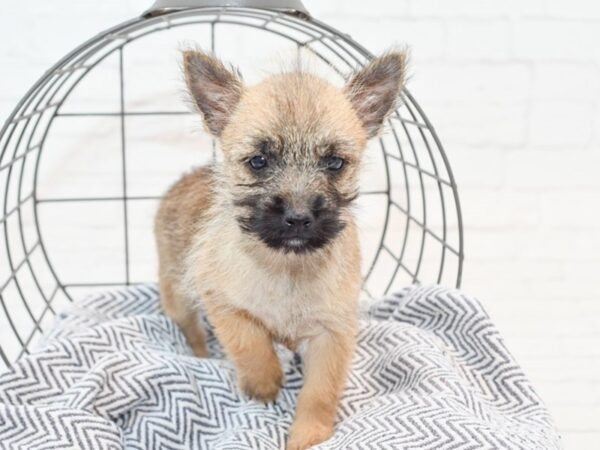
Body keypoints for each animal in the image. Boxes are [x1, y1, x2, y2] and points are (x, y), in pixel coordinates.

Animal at [155, 49, 408, 450]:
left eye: (334, 162)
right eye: (259, 161)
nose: (299, 217)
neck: (288, 264)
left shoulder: (332, 335)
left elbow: (320, 392)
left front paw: (308, 436)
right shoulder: (222, 303)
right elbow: (251, 343)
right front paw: (264, 384)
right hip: (177, 296)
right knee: (192, 330)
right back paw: (202, 352)